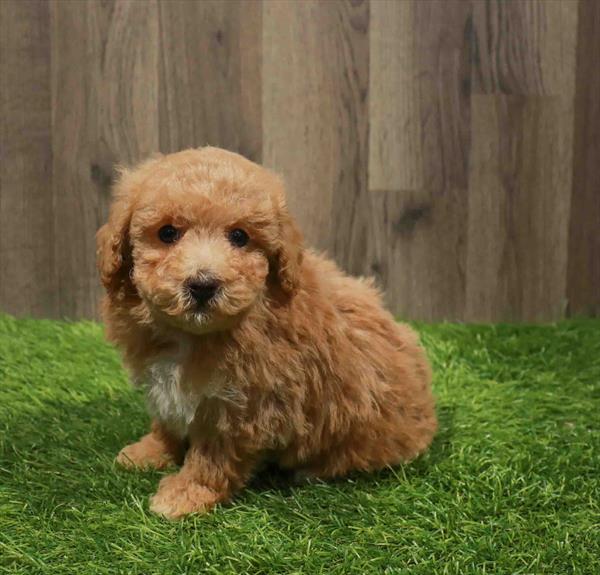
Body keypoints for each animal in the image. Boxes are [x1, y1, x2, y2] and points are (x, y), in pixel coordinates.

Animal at [97, 146, 436, 520]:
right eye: (167, 233)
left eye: (239, 237)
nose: (203, 285)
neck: (194, 336)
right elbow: (166, 420)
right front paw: (148, 451)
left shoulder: (242, 406)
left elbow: (212, 456)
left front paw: (185, 494)